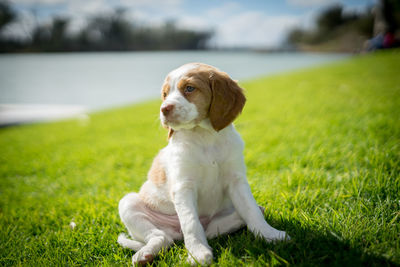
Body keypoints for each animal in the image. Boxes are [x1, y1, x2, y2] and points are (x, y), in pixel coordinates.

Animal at [117, 62, 290, 266]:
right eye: (165, 94)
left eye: (189, 88)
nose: (164, 109)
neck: (204, 136)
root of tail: (175, 232)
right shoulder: (183, 187)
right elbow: (191, 222)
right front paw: (197, 254)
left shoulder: (236, 181)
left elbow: (251, 209)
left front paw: (270, 235)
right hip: (129, 203)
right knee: (162, 237)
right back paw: (145, 254)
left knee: (217, 227)